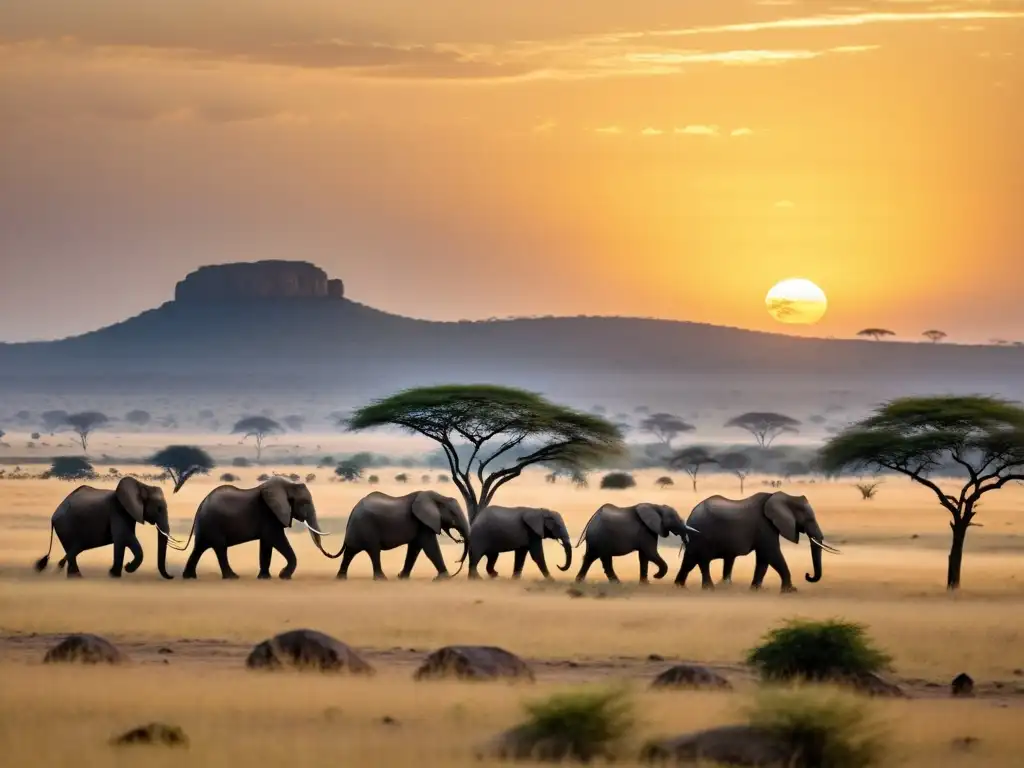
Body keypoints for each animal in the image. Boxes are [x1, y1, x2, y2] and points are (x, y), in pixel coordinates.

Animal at [33, 479, 178, 581]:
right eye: (159, 508)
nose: (172, 576)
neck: (141, 485)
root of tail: (53, 515)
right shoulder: (118, 511)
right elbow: (124, 537)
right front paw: (119, 571)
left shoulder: (128, 513)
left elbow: (125, 539)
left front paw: (118, 572)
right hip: (65, 526)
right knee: (72, 549)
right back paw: (74, 576)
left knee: (73, 550)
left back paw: (74, 576)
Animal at [179, 479, 331, 581]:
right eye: (305, 503)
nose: (329, 554)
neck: (288, 485)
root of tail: (201, 504)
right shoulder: (269, 514)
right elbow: (277, 539)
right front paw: (284, 575)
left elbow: (266, 544)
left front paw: (265, 578)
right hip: (213, 524)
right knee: (220, 549)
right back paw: (232, 577)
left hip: (206, 525)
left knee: (199, 548)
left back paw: (189, 577)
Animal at [331, 489, 468, 581]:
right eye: (453, 514)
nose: (457, 562)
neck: (438, 497)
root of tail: (354, 509)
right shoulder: (423, 522)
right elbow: (430, 547)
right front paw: (443, 579)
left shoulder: (421, 524)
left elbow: (414, 548)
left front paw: (401, 577)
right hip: (366, 527)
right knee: (373, 550)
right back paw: (382, 579)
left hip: (358, 529)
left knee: (350, 552)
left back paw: (341, 579)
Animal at [675, 493, 835, 593]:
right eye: (809, 519)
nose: (807, 575)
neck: (784, 496)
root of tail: (691, 515)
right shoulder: (765, 525)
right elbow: (771, 554)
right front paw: (791, 591)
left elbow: (764, 559)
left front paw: (756, 590)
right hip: (702, 536)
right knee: (702, 561)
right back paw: (709, 589)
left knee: (689, 561)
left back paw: (680, 587)